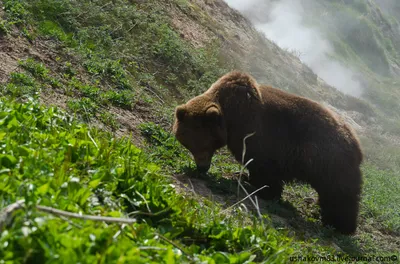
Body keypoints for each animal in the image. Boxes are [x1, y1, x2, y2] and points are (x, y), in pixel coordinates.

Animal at [172, 71, 362, 234]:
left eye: (204, 144)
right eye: (188, 144)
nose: (202, 167)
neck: (230, 116)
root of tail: (356, 142)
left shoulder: (258, 134)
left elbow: (262, 167)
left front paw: (259, 188)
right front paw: (244, 177)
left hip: (329, 161)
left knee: (339, 195)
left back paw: (340, 225)